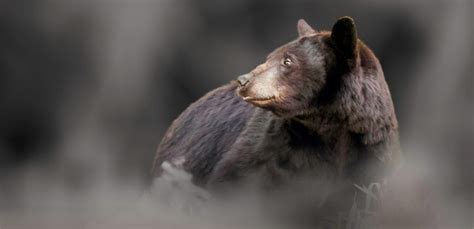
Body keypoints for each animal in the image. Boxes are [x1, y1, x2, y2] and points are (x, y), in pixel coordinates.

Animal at [151, 16, 400, 224]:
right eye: (270, 56)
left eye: (287, 61)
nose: (244, 80)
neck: (326, 128)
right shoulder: (273, 149)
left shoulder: (372, 153)